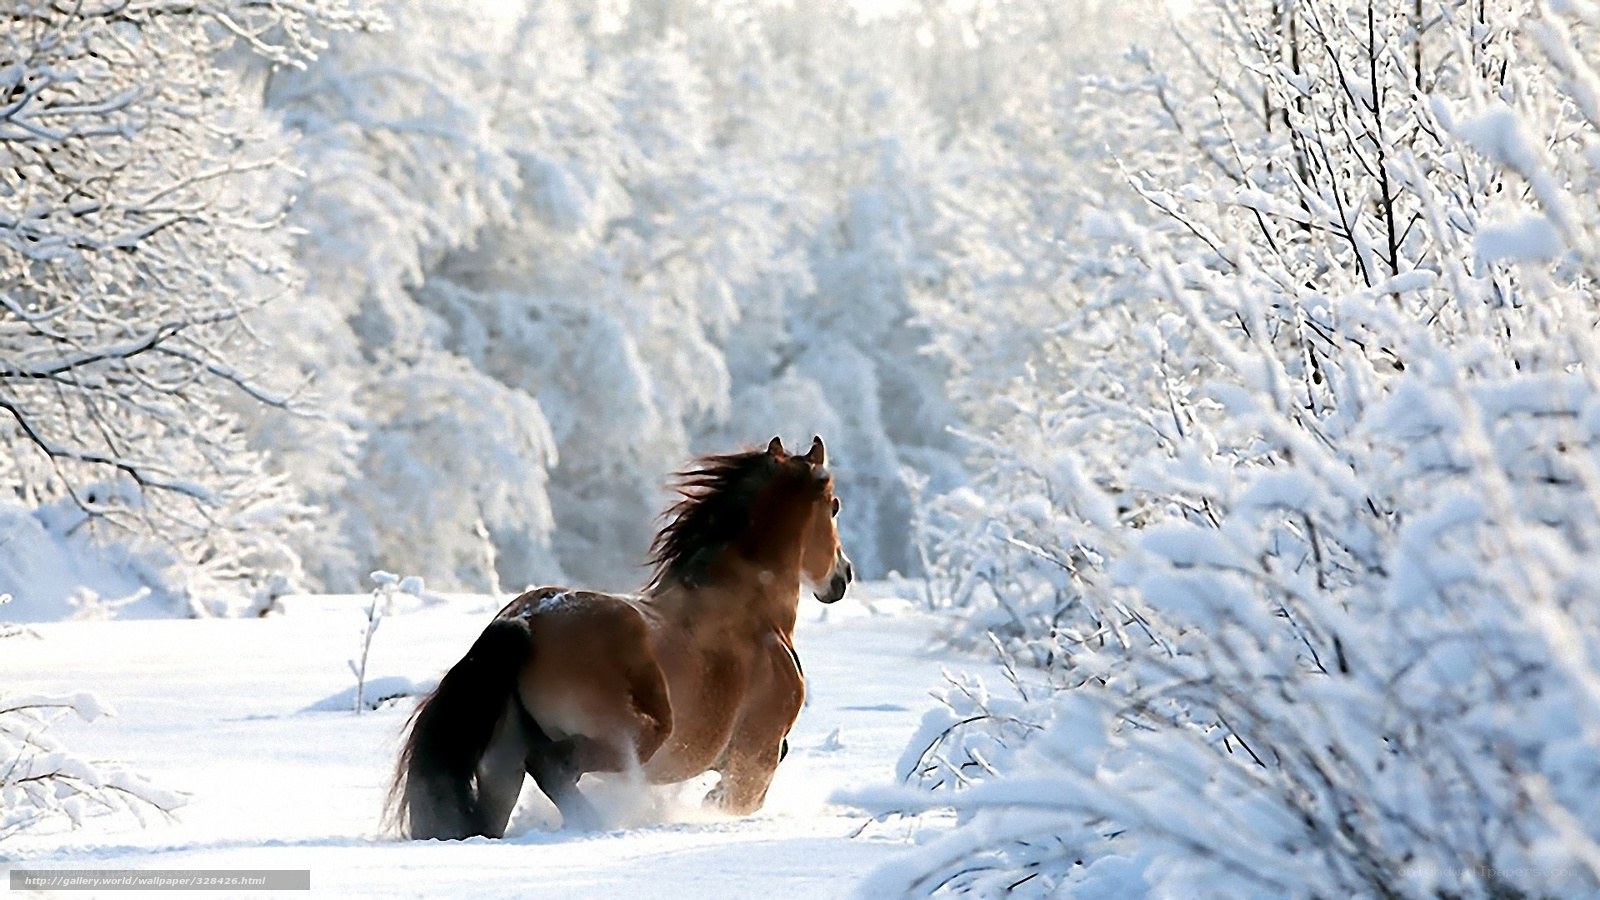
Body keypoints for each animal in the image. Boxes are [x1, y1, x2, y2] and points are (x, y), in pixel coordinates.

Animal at [386, 435, 854, 840]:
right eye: (833, 506)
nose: (843, 576)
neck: (752, 611)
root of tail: (525, 622)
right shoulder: (756, 755)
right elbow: (738, 800)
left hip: (502, 762)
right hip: (635, 737)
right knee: (554, 766)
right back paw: (596, 823)